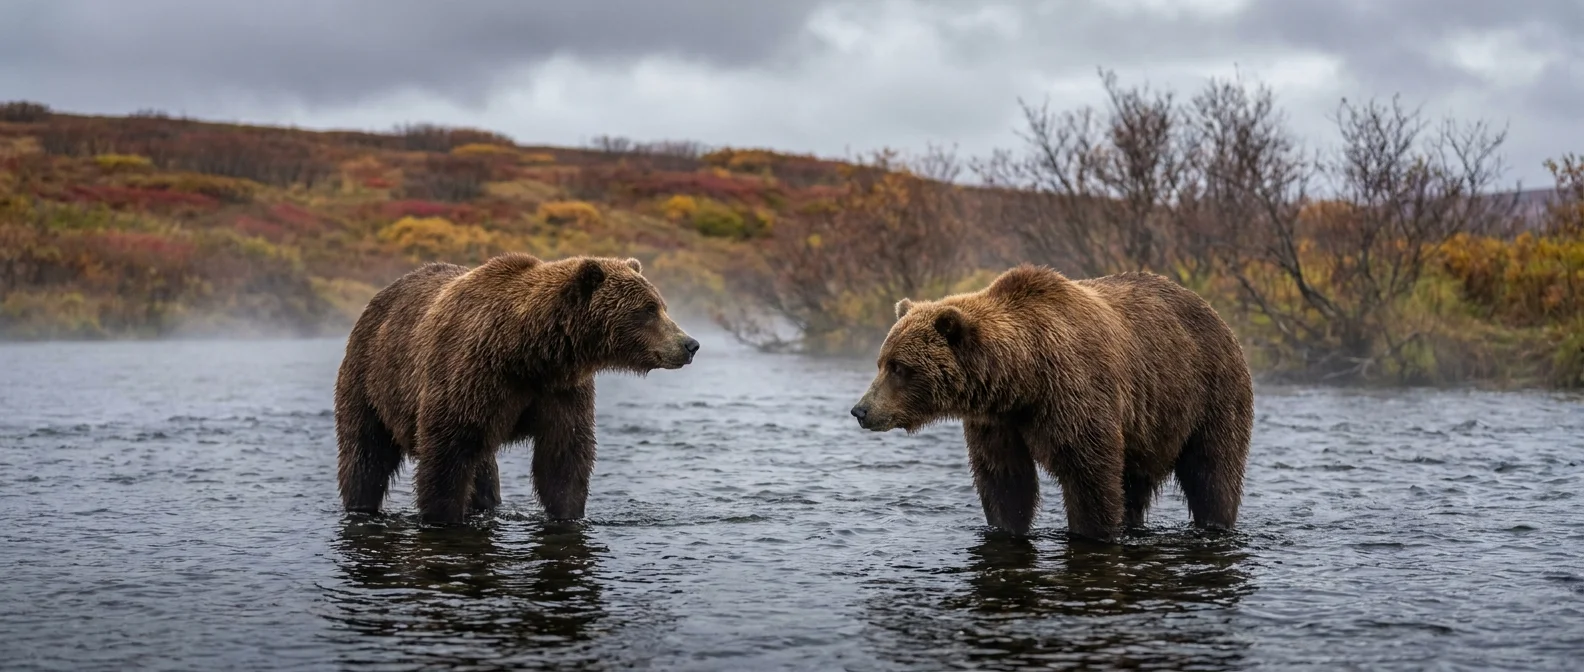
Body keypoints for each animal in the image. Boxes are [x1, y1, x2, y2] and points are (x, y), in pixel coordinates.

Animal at [333, 252, 700, 524]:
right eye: (648, 309)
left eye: (661, 305)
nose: (690, 344)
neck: (527, 352)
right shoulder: (469, 376)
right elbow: (446, 456)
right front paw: (442, 515)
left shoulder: (561, 391)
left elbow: (564, 457)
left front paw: (568, 513)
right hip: (370, 378)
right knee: (365, 453)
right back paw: (361, 503)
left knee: (484, 470)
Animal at [848, 264, 1253, 542]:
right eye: (881, 362)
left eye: (900, 367)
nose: (861, 410)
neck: (1023, 378)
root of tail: (1214, 312)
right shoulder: (998, 422)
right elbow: (1005, 481)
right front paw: (1006, 525)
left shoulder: (1076, 395)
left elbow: (1090, 476)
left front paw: (1091, 531)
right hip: (1148, 424)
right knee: (1136, 482)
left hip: (1208, 392)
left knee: (1213, 471)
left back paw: (1215, 519)